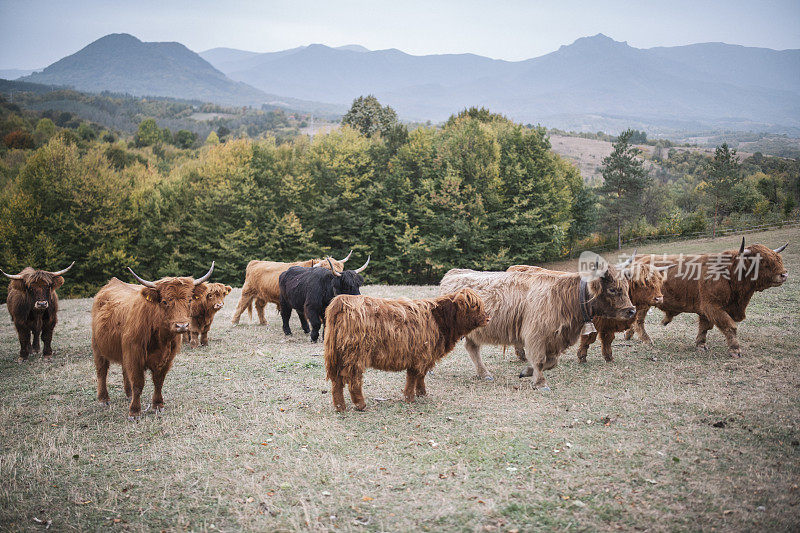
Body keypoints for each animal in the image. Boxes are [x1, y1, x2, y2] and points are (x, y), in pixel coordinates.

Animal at [91, 264, 214, 418]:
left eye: (189, 300)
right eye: (164, 301)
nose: (182, 325)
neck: (160, 339)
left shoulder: (166, 358)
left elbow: (158, 381)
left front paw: (158, 405)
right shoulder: (135, 356)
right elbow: (138, 383)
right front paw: (135, 411)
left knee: (124, 370)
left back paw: (128, 394)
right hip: (98, 347)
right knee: (102, 371)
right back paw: (103, 399)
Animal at [324, 288, 488, 410]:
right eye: (475, 306)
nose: (488, 318)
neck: (439, 319)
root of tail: (342, 301)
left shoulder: (426, 356)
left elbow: (421, 375)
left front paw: (422, 393)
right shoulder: (419, 355)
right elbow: (413, 377)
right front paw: (410, 398)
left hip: (338, 356)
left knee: (337, 382)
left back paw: (340, 407)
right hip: (356, 356)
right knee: (354, 380)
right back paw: (360, 404)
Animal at [440, 260, 636, 388]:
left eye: (626, 287)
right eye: (613, 289)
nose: (631, 310)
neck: (565, 298)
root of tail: (453, 272)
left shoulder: (554, 339)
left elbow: (551, 362)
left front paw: (527, 371)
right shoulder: (535, 336)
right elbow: (540, 361)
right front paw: (540, 382)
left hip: (474, 332)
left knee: (472, 348)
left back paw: (485, 374)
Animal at [632, 238, 792, 358]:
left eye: (778, 258)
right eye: (763, 262)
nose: (784, 274)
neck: (729, 272)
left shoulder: (705, 310)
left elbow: (704, 327)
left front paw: (700, 345)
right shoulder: (713, 307)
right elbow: (729, 326)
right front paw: (735, 350)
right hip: (643, 304)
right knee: (639, 321)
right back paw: (647, 340)